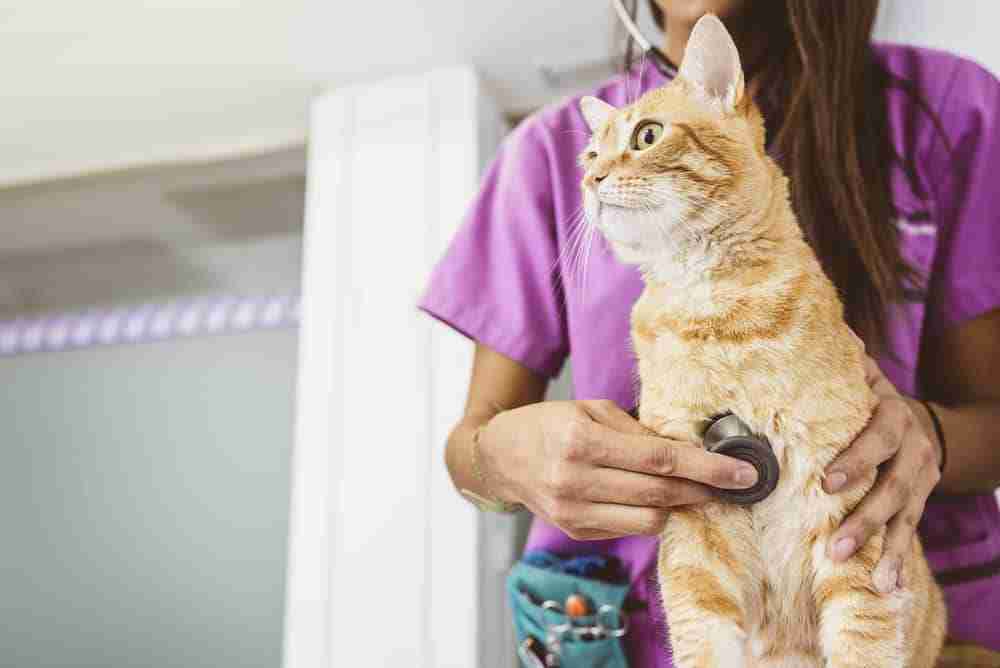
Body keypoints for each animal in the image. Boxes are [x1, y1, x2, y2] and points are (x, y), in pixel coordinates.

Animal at [580, 15, 944, 668]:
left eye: (647, 136)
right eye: (591, 153)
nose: (591, 180)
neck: (714, 316)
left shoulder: (849, 526)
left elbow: (863, 642)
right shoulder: (697, 534)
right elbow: (702, 639)